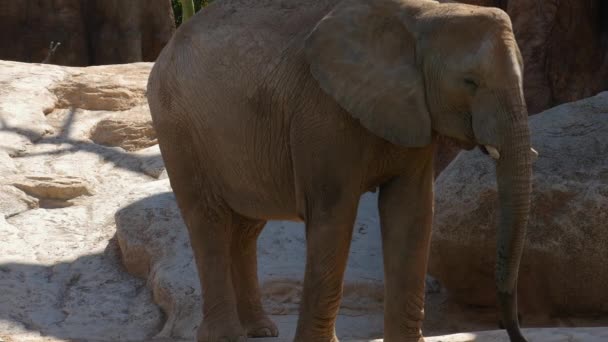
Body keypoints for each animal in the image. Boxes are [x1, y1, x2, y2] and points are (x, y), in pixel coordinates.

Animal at [147, 0, 536, 342]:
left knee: (246, 227)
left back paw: (261, 331)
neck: (421, 16)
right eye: (470, 82)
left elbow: (412, 214)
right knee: (208, 220)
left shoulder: (414, 112)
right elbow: (334, 215)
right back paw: (227, 336)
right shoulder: (322, 114)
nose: (515, 332)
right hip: (178, 128)